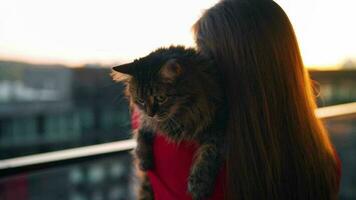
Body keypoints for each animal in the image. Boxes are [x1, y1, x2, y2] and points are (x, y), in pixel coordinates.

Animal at [112, 46, 225, 199]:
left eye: (161, 98)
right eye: (141, 101)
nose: (151, 113)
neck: (180, 116)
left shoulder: (217, 128)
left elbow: (207, 154)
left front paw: (198, 185)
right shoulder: (147, 122)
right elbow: (141, 133)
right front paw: (143, 159)